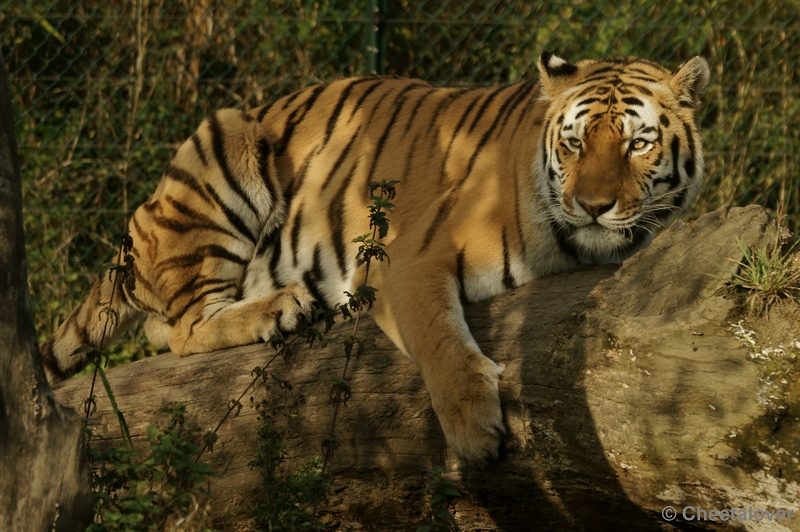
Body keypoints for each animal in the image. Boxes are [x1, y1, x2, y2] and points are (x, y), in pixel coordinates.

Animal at [40, 53, 708, 462]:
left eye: (638, 144)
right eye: (573, 144)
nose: (593, 206)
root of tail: (137, 232)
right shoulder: (406, 260)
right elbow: (441, 338)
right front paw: (474, 429)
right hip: (221, 149)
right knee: (181, 329)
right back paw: (282, 308)